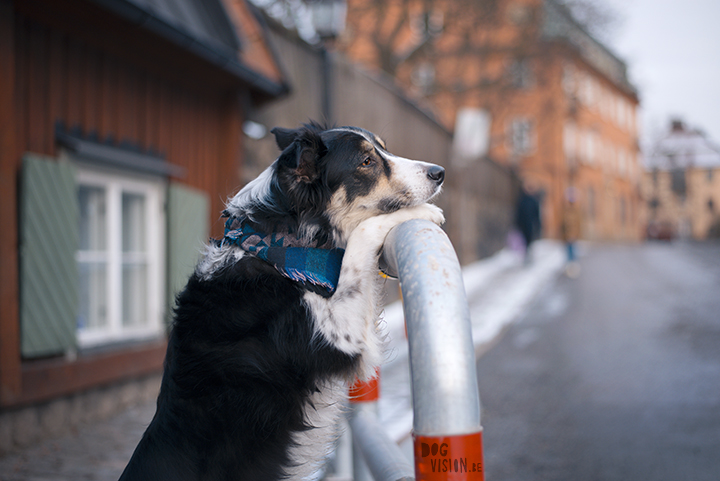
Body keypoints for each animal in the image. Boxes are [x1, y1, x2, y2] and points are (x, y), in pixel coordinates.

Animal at [119, 123, 444, 480]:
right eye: (366, 162)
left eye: (383, 149)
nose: (439, 172)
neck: (278, 246)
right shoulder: (338, 337)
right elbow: (360, 241)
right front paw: (423, 211)